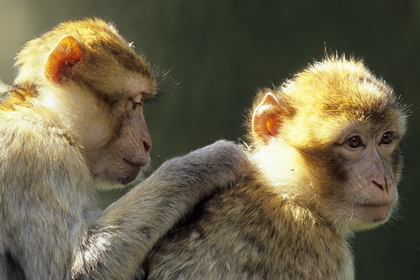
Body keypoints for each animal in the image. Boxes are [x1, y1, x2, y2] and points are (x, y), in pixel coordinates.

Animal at [0, 18, 249, 278]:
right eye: (136, 103)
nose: (147, 143)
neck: (43, 116)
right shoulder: (36, 155)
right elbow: (76, 269)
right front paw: (211, 161)